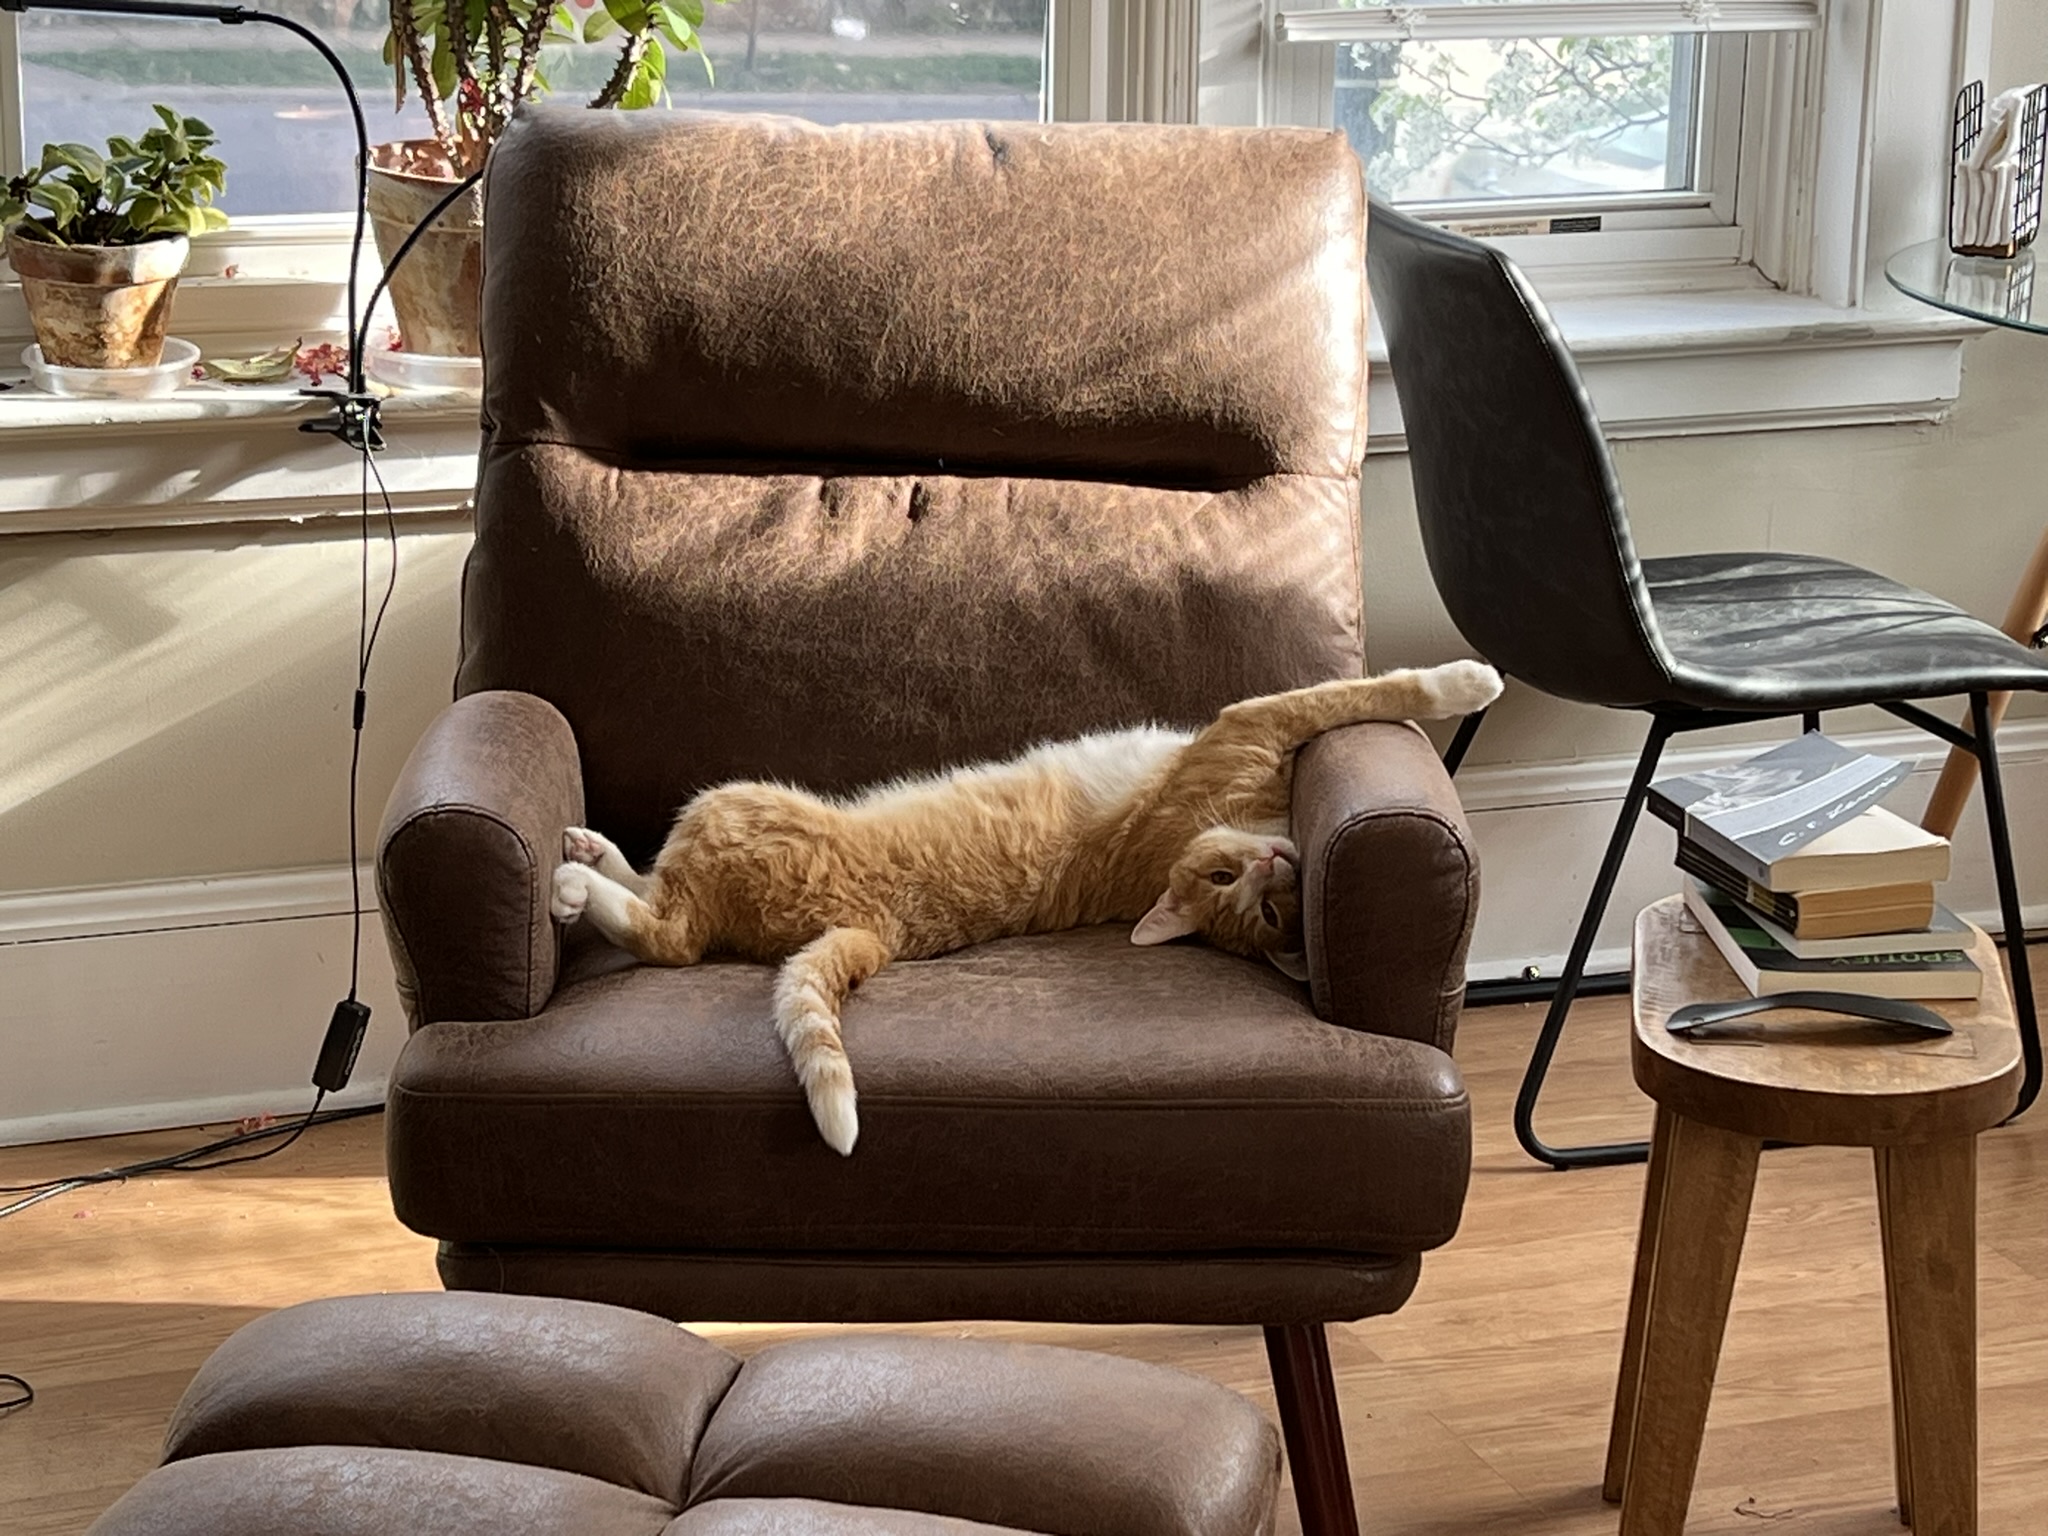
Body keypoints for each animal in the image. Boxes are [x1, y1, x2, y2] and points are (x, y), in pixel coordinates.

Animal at [552, 663, 1499, 1155]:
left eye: (1271, 916)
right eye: (1228, 882)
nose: (1273, 868)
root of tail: (871, 933)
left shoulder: (1252, 724)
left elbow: (1369, 690)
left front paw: (1465, 679)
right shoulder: (1250, 726)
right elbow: (1356, 691)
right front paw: (1467, 678)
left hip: (727, 806)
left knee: (667, 924)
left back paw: (583, 874)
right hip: (726, 810)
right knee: (663, 920)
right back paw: (585, 866)